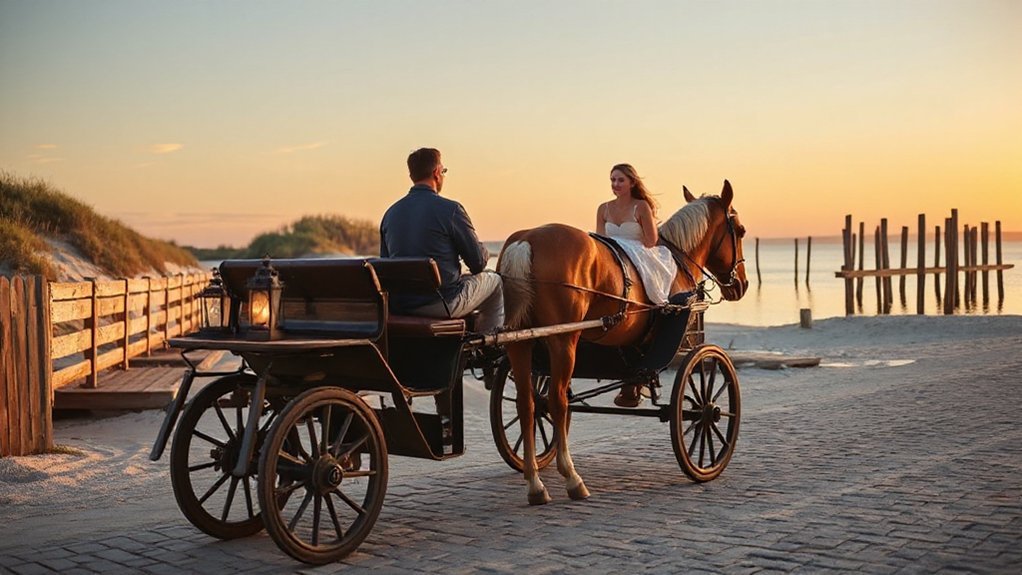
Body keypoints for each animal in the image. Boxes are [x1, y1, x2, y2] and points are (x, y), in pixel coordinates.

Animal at [496, 180, 748, 505]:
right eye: (740, 230)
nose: (741, 284)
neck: (679, 259)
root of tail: (527, 239)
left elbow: (634, 368)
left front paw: (629, 394)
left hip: (523, 343)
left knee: (528, 403)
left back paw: (534, 482)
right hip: (562, 340)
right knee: (557, 402)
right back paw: (572, 478)